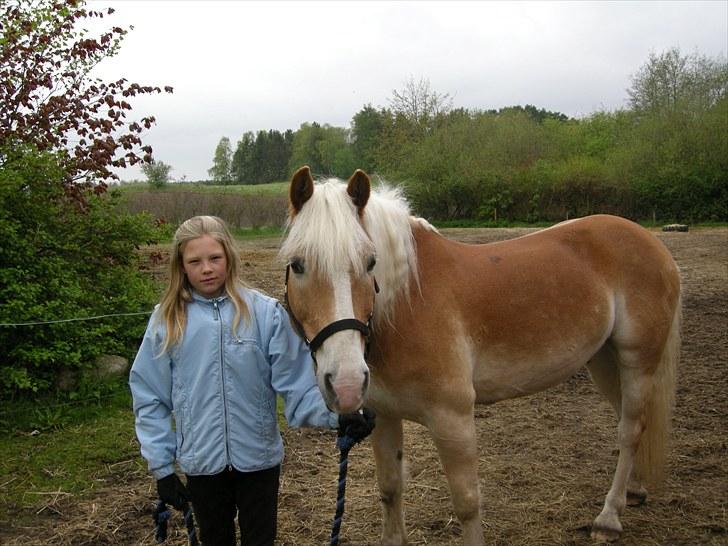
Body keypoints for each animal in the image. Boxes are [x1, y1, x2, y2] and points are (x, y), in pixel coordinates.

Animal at [280, 166, 684, 544]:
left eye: (369, 262)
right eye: (297, 264)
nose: (346, 383)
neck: (407, 303)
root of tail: (653, 243)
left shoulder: (453, 419)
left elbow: (467, 502)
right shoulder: (385, 416)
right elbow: (390, 489)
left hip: (636, 358)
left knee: (629, 429)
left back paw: (608, 518)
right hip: (603, 360)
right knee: (630, 421)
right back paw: (634, 491)